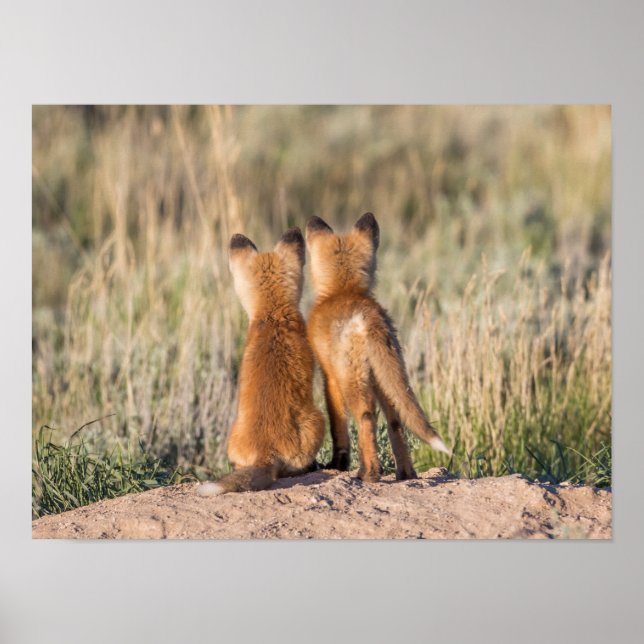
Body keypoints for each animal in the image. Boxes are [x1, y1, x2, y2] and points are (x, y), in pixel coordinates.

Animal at [305, 212, 450, 483]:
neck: (342, 290)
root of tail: (370, 318)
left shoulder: (329, 376)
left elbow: (338, 426)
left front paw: (338, 464)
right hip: (387, 380)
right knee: (396, 423)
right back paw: (406, 474)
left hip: (354, 382)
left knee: (365, 419)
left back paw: (369, 473)